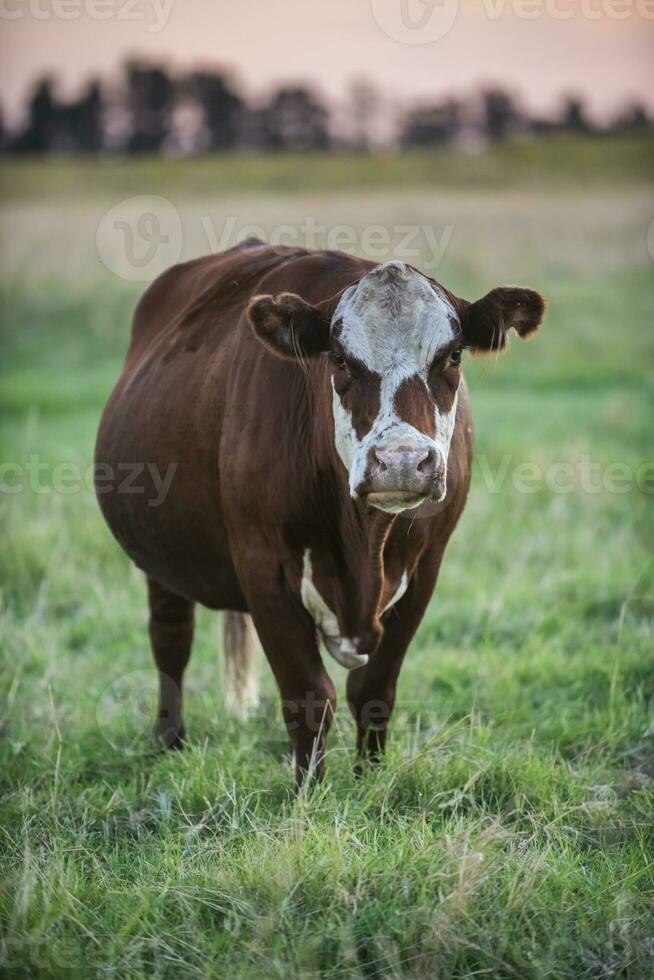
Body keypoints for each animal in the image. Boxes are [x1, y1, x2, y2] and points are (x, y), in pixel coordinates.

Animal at [96, 241, 548, 784]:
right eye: (339, 358)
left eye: (453, 354)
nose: (400, 461)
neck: (365, 545)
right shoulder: (263, 568)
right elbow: (309, 697)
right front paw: (307, 793)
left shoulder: (427, 566)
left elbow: (373, 691)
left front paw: (369, 780)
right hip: (162, 558)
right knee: (170, 641)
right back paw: (169, 741)